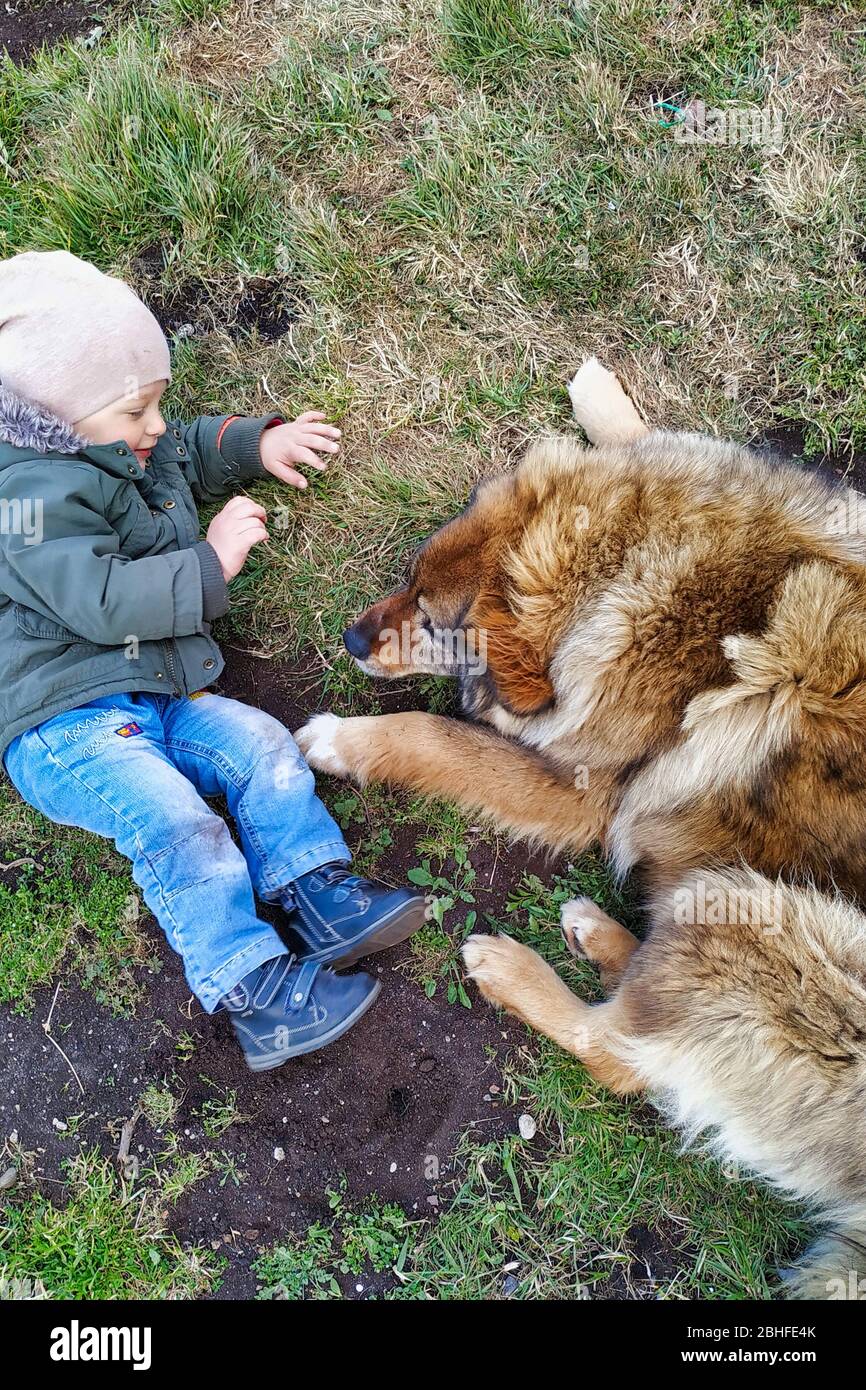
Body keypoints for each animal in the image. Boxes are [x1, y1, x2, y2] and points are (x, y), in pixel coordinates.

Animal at [297, 361, 866, 1301]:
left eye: (438, 620)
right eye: (408, 575)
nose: (349, 637)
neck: (695, 597)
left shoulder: (581, 792)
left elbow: (439, 736)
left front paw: (343, 741)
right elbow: (639, 439)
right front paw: (606, 406)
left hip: (749, 912)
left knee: (622, 1058)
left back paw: (512, 966)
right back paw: (596, 932)